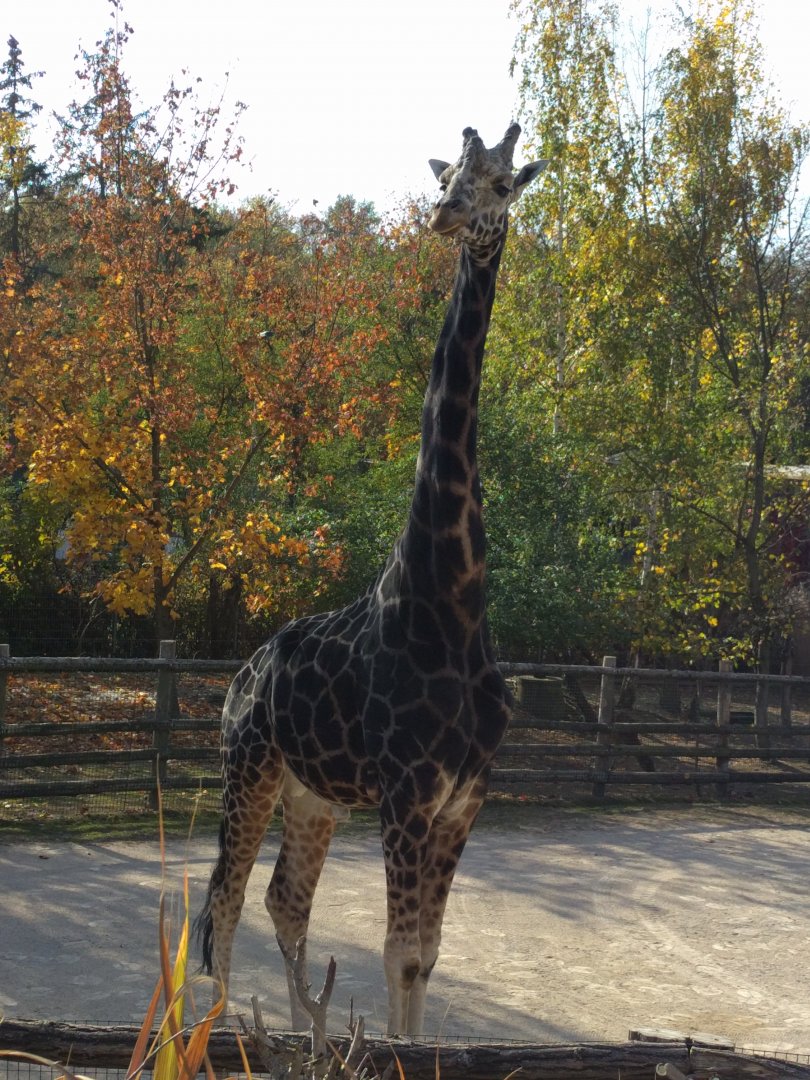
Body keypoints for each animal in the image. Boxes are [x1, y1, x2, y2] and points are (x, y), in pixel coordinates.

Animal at [195, 123, 548, 1037]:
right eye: (448, 173)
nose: (446, 215)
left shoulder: (464, 800)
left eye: (502, 183)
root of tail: (240, 675)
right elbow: (398, 956)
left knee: (284, 900)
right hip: (246, 767)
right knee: (224, 903)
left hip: (311, 795)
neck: (452, 599)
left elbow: (425, 958)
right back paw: (206, 1036)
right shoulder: (405, 795)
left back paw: (299, 1031)